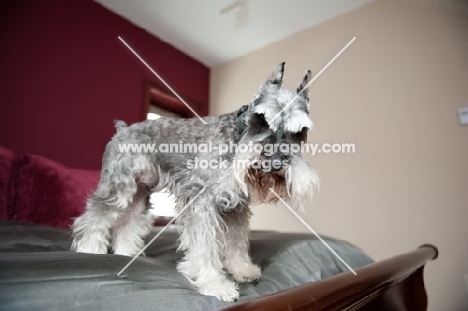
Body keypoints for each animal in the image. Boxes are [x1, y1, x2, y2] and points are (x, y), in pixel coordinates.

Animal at [71, 62, 320, 302]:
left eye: (301, 131)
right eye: (261, 119)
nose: (276, 161)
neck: (236, 137)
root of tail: (122, 129)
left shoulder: (237, 207)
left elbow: (237, 240)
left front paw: (242, 269)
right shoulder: (201, 201)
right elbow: (205, 245)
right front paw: (214, 284)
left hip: (140, 192)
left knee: (128, 222)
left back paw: (126, 253)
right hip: (118, 186)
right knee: (96, 216)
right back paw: (89, 249)